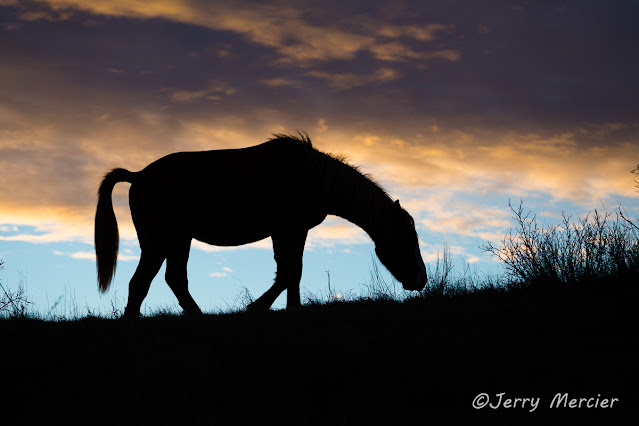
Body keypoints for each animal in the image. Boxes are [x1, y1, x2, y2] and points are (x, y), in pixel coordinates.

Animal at [92, 133, 428, 316]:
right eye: (407, 240)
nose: (421, 280)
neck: (314, 178)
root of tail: (138, 175)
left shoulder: (294, 231)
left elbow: (293, 271)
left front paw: (291, 308)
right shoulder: (286, 230)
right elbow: (289, 271)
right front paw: (258, 306)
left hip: (178, 239)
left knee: (172, 279)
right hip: (160, 240)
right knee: (142, 282)